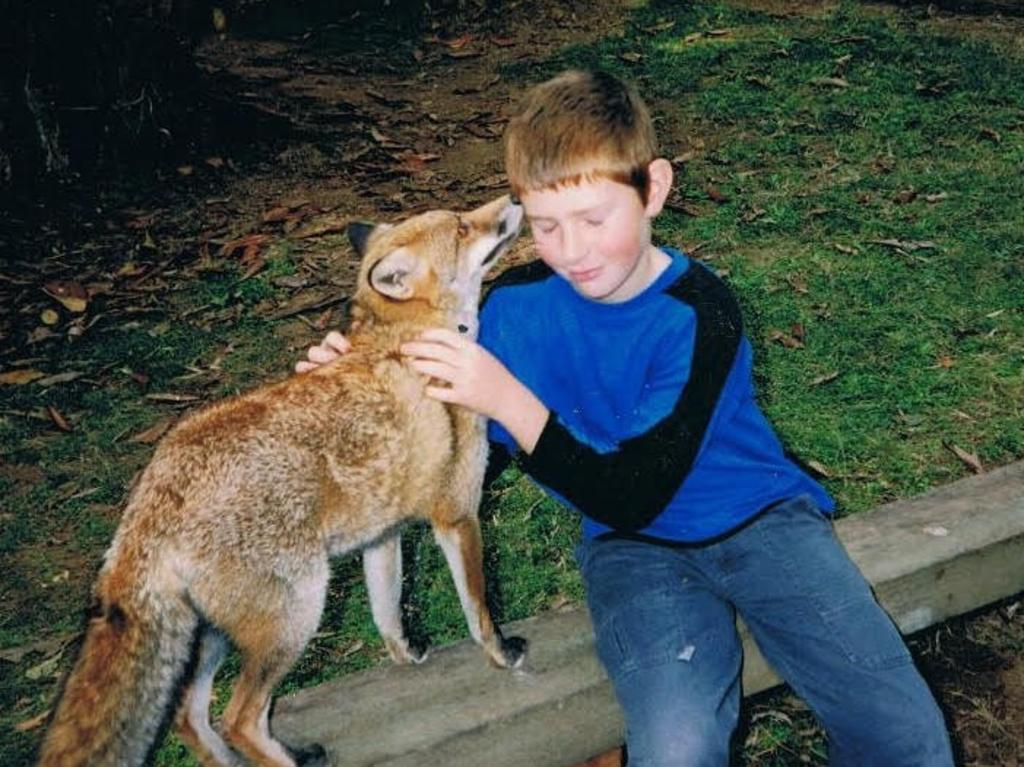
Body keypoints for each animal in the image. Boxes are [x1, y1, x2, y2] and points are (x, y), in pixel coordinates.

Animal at [36, 194, 524, 761]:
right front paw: (501, 654)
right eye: (463, 226)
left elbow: (387, 613)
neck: (409, 344)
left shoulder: (381, 535)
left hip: (217, 634)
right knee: (239, 719)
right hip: (297, 613)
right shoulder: (458, 513)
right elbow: (479, 608)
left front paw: (406, 656)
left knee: (189, 717)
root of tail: (150, 498)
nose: (514, 200)